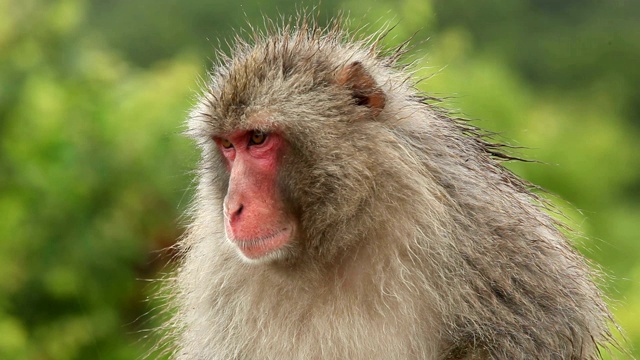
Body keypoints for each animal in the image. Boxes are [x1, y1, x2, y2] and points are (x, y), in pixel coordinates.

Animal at [165, 17, 620, 360]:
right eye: (228, 146)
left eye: (257, 139)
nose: (233, 207)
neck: (337, 239)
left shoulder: (491, 229)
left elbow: (541, 330)